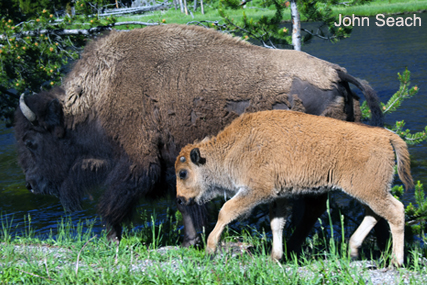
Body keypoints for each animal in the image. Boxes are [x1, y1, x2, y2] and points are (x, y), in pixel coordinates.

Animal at [14, 24, 384, 248]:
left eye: (32, 142)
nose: (31, 184)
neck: (95, 100)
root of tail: (336, 72)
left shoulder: (137, 163)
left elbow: (114, 202)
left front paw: (112, 238)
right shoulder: (173, 164)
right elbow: (186, 204)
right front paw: (190, 241)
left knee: (313, 205)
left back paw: (291, 247)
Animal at [176, 109, 412, 266]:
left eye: (183, 173)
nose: (179, 199)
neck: (235, 146)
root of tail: (385, 135)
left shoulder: (256, 191)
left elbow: (226, 212)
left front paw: (210, 249)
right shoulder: (278, 196)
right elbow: (276, 223)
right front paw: (275, 257)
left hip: (370, 190)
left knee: (395, 212)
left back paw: (396, 262)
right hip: (370, 192)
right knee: (375, 214)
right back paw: (353, 251)